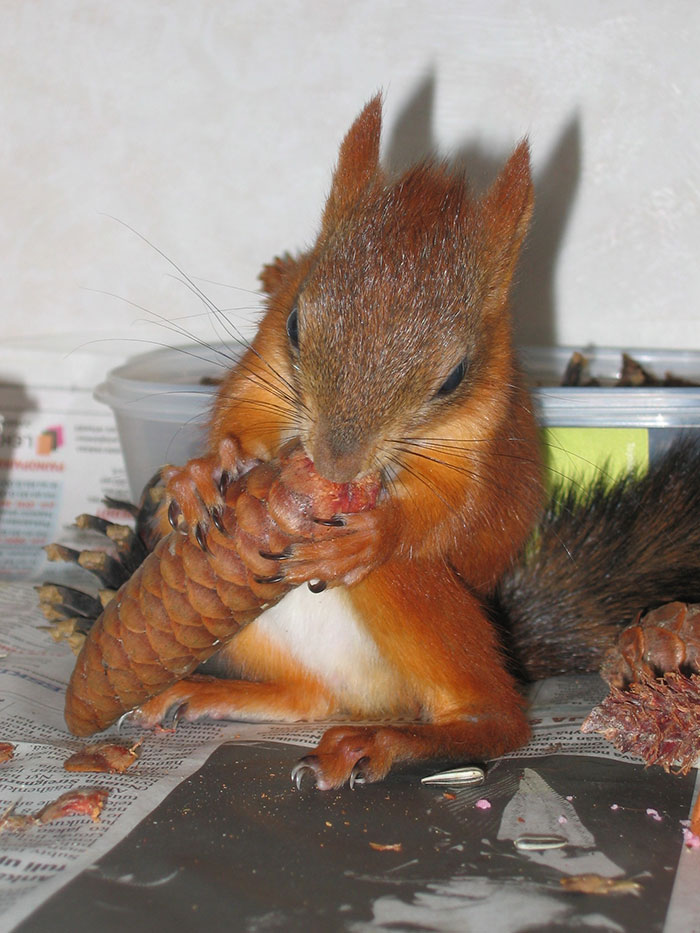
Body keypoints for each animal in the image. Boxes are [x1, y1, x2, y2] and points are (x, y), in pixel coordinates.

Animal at [116, 96, 700, 789]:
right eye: (295, 323)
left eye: (454, 375)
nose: (335, 462)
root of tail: (376, 700)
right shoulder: (262, 367)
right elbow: (238, 416)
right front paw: (205, 469)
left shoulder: (485, 439)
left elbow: (458, 509)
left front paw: (376, 534)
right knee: (308, 697)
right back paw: (204, 690)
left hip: (417, 597)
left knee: (499, 717)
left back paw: (386, 742)